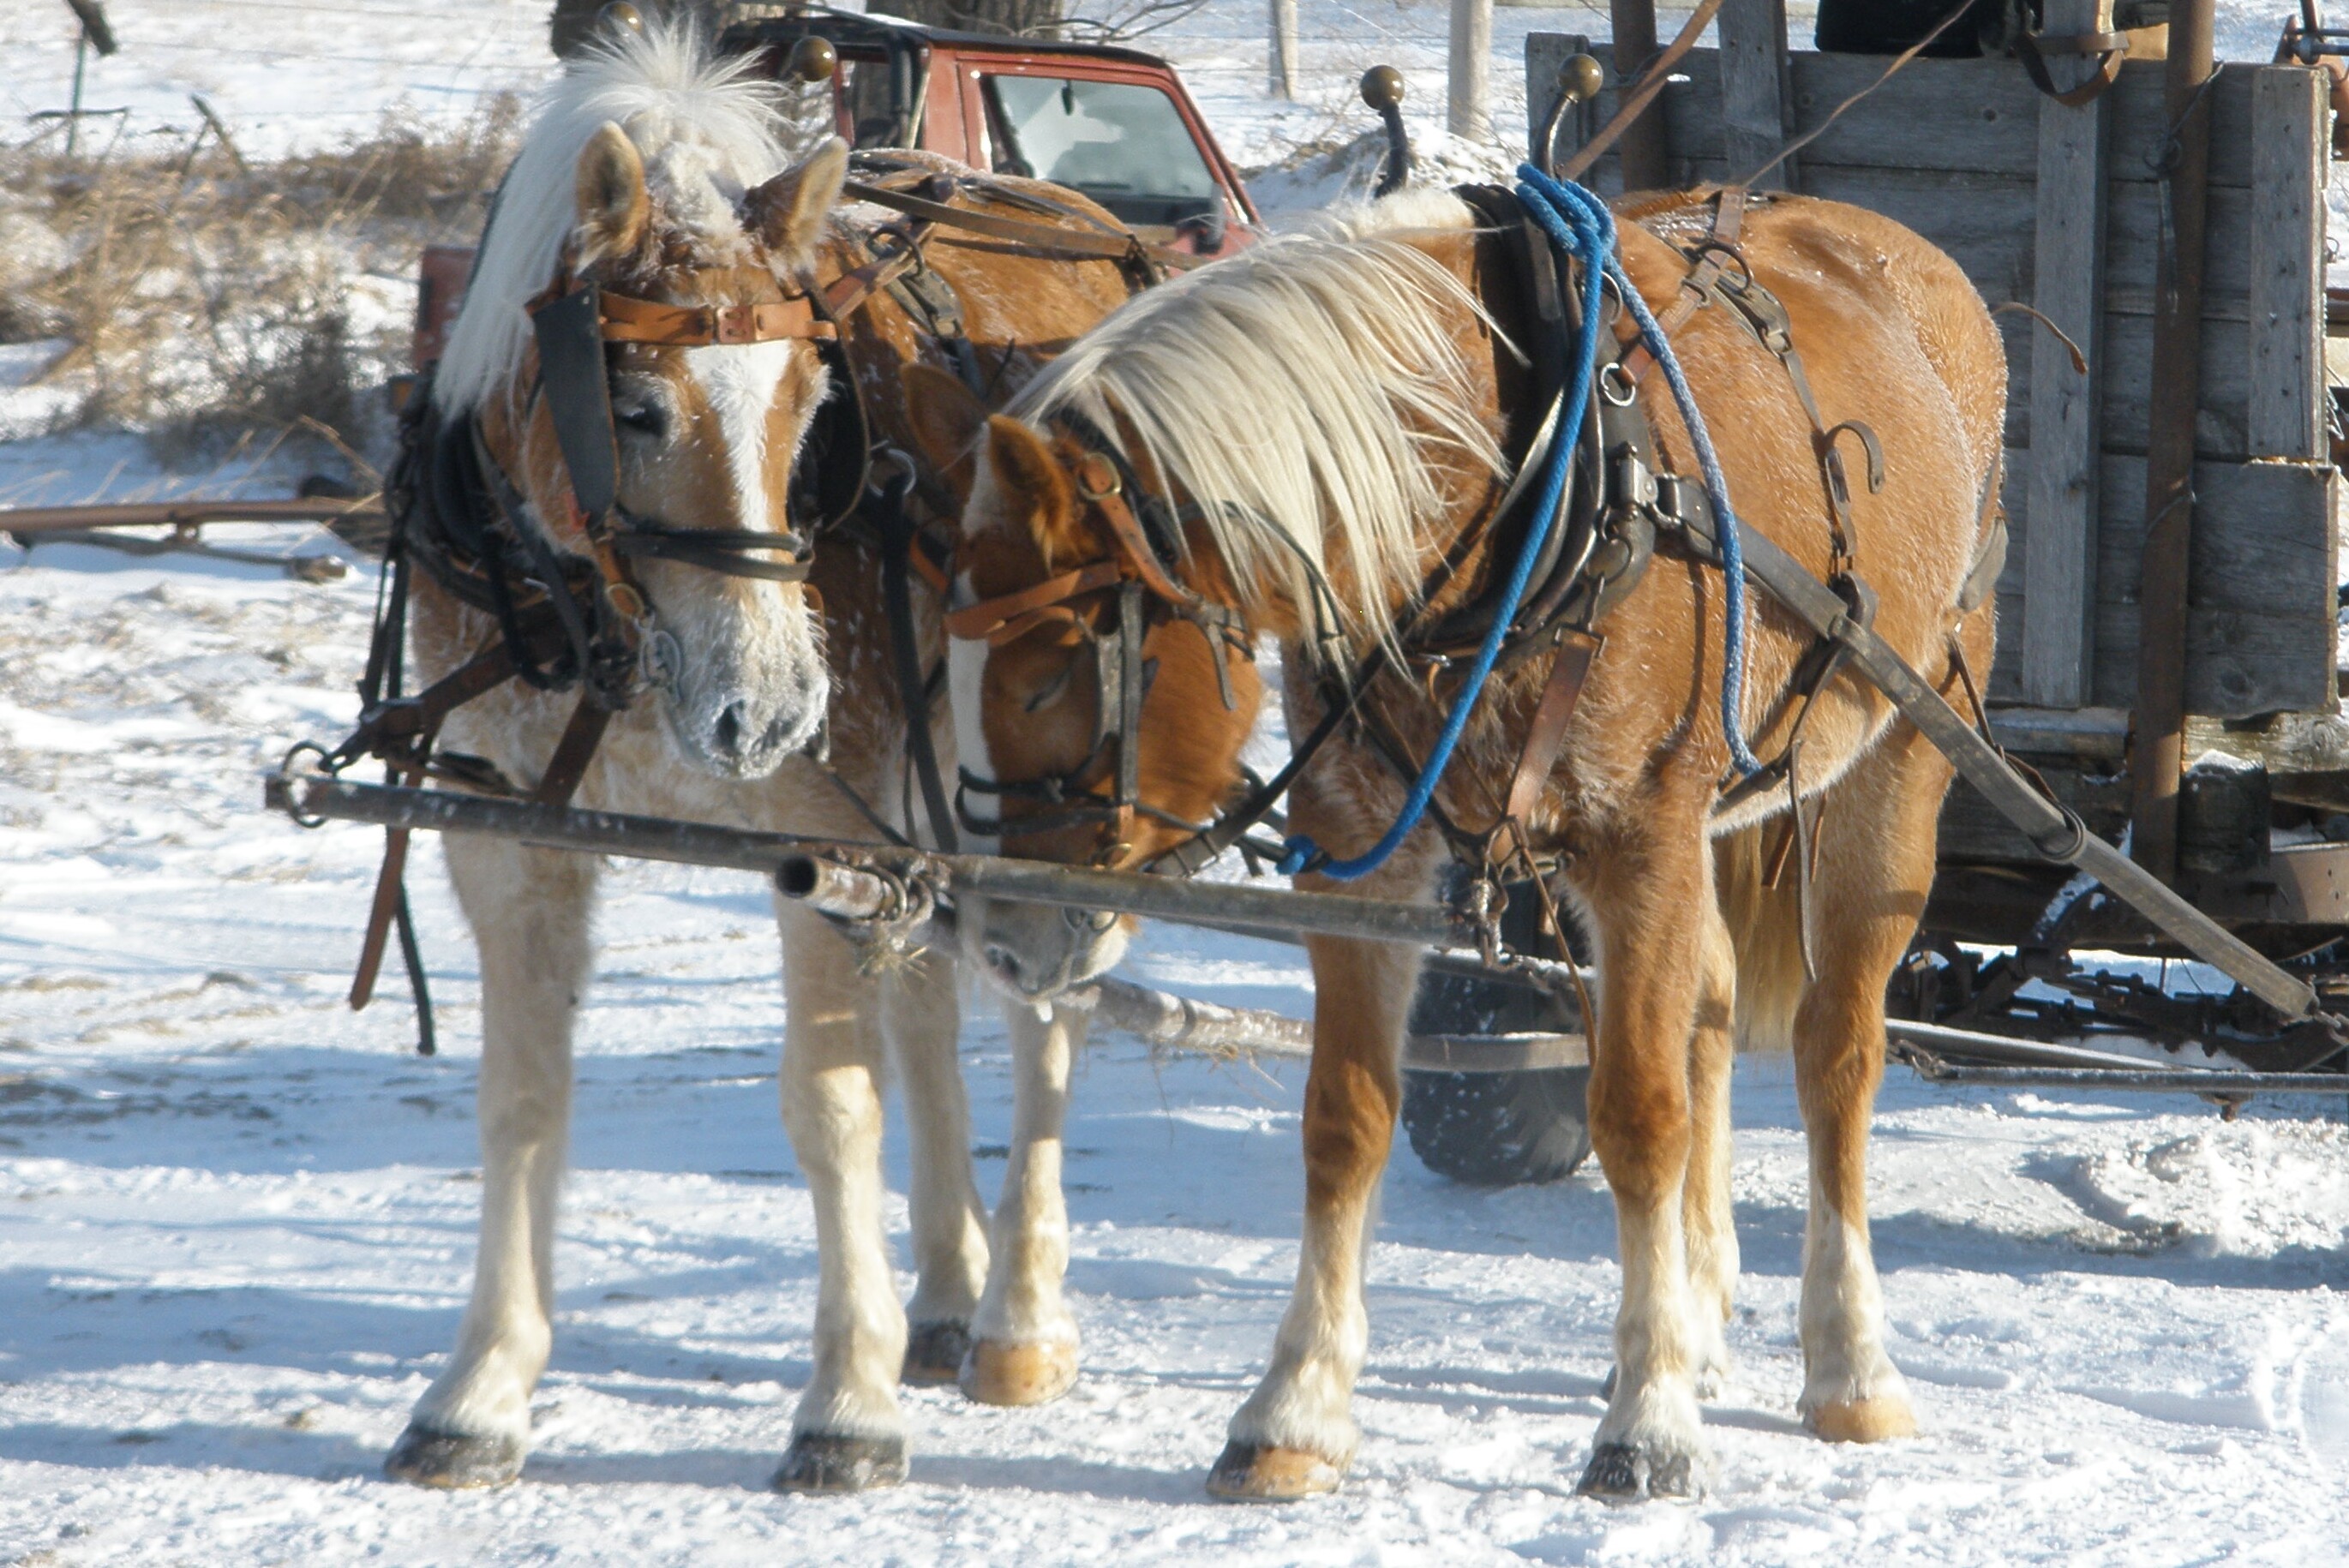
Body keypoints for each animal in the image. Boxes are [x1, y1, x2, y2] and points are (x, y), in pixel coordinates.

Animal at [384, 22, 1146, 1492]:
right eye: (630, 405)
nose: (775, 706)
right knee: (933, 993)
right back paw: (949, 1293)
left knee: (1049, 1000)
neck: (604, 635)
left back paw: (1019, 1318)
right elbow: (520, 1100)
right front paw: (478, 1390)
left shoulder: (816, 836)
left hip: (1037, 778)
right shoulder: (508, 838)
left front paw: (845, 1406)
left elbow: (830, 1107)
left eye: (811, 394)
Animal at [914, 182, 2005, 1501]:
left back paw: (1849, 1362)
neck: (1521, 480)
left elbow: (1639, 1115)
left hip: (1902, 755)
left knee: (1834, 1052)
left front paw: (1647, 1423)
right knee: (1708, 1004)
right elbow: (1344, 1117)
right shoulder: (1360, 847)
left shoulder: (1639, 839)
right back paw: (1701, 1309)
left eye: (1047, 671)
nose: (1003, 941)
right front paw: (1294, 1407)